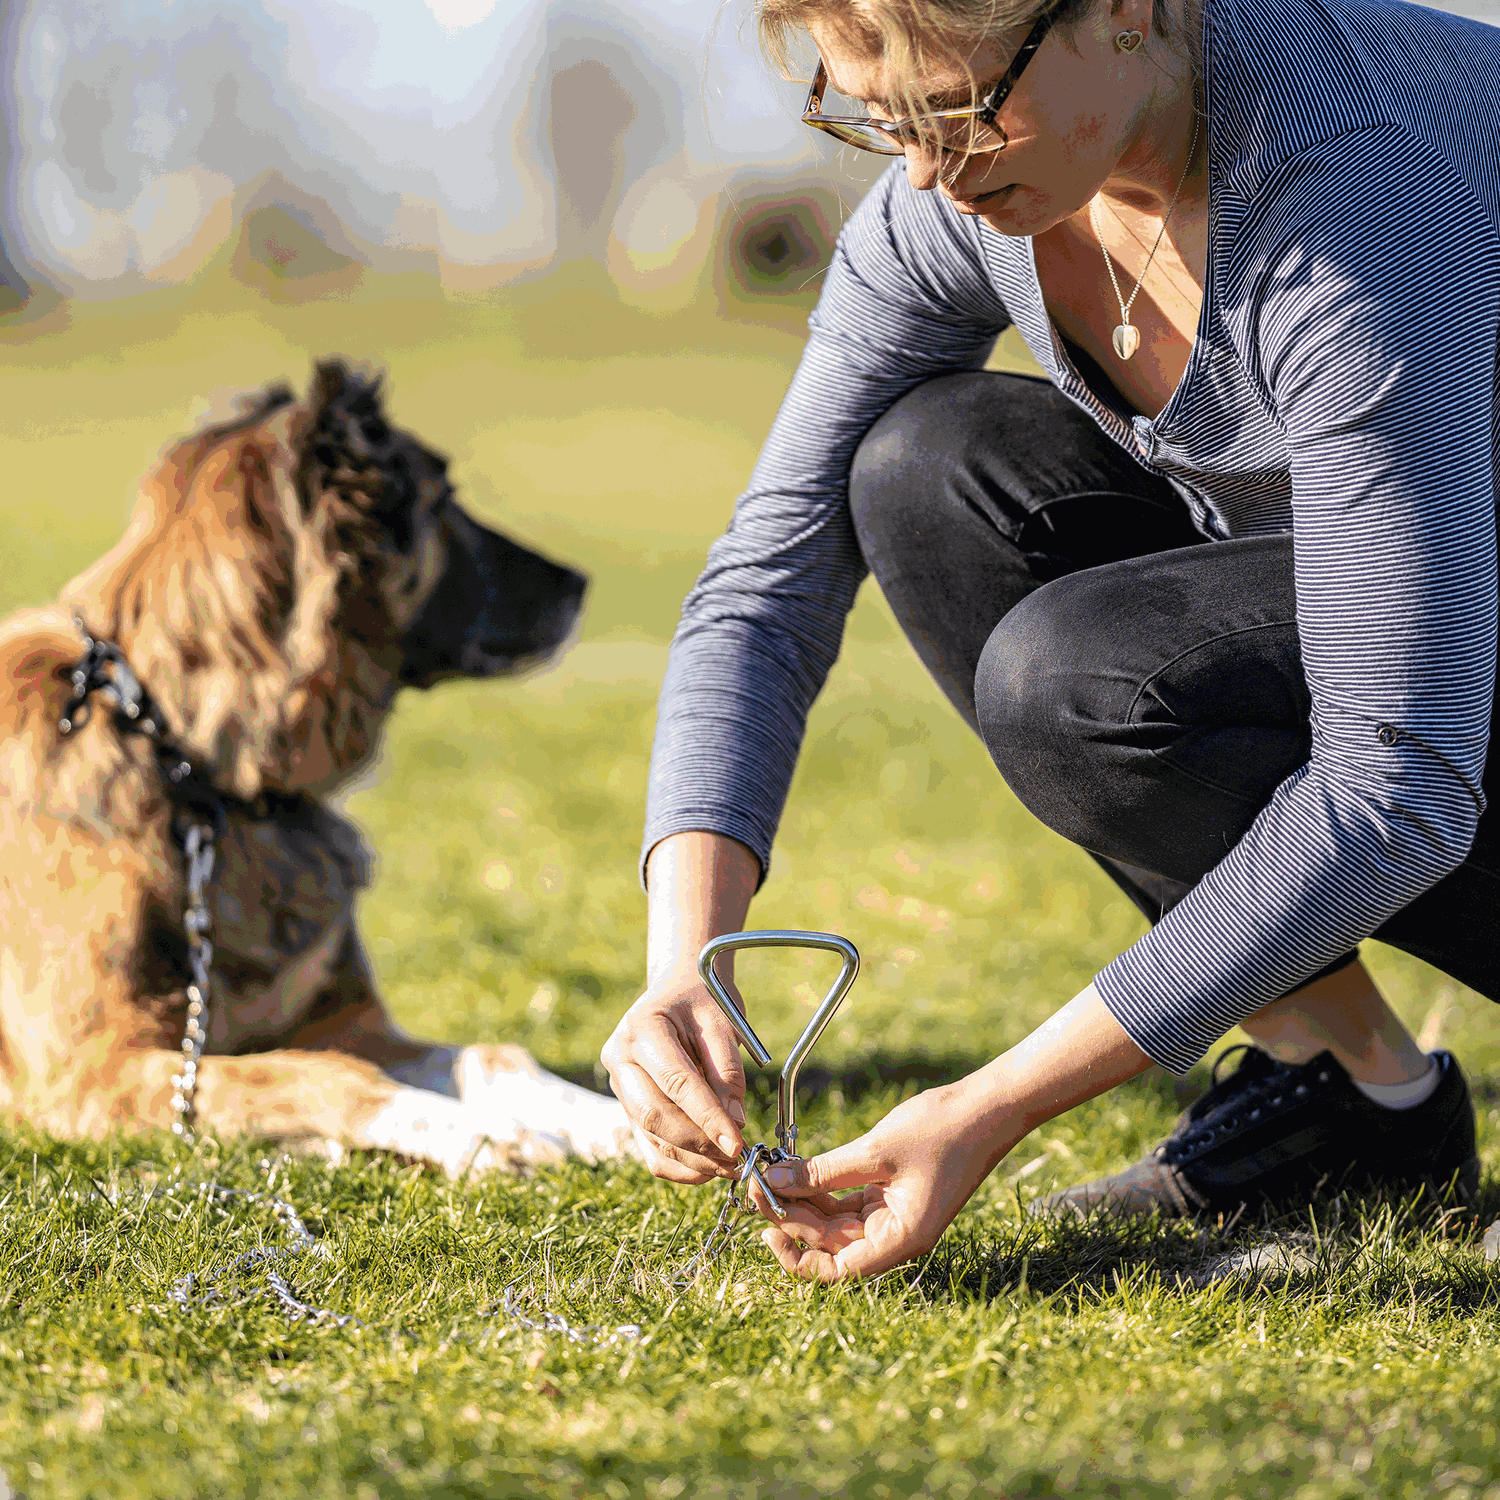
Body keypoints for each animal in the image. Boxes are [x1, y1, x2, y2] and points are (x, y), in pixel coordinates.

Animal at [0, 360, 639, 1170]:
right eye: (443, 501)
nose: (579, 583)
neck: (190, 763)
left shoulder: (350, 1022)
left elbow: (493, 1056)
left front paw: (623, 1118)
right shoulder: (88, 1073)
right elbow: (320, 1072)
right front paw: (482, 1134)